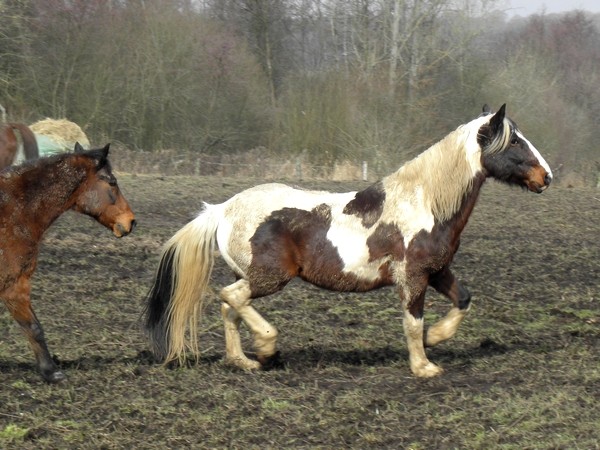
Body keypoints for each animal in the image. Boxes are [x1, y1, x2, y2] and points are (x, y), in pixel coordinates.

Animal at [0, 142, 136, 382]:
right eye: (112, 181)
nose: (130, 221)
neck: (16, 211)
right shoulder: (14, 285)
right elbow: (34, 327)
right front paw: (51, 372)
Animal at [143, 104, 552, 376]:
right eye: (514, 141)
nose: (546, 176)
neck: (425, 203)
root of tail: (223, 209)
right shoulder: (413, 278)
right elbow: (412, 322)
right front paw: (424, 366)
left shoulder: (437, 271)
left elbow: (462, 300)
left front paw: (436, 338)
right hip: (269, 277)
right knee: (231, 298)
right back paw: (267, 348)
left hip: (251, 276)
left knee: (231, 307)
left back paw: (242, 360)